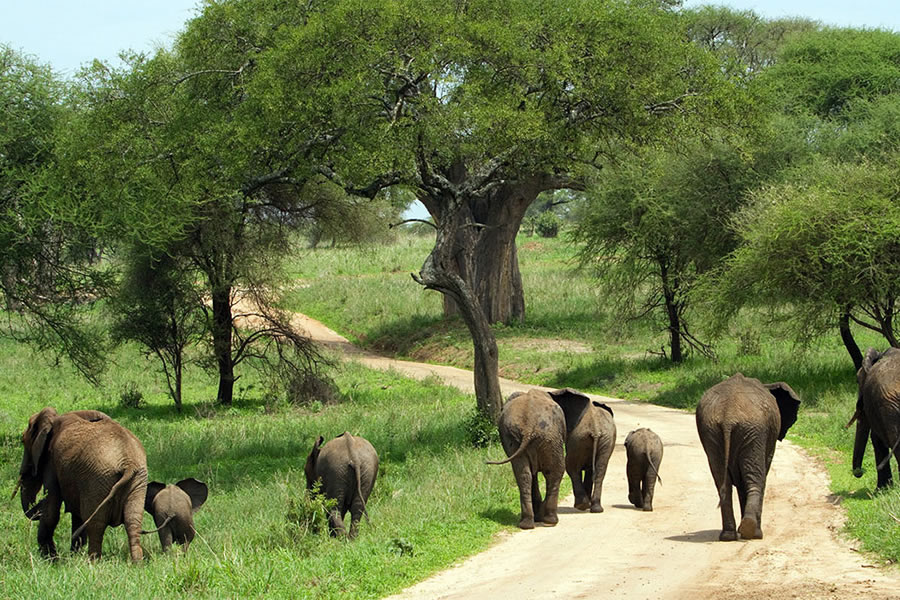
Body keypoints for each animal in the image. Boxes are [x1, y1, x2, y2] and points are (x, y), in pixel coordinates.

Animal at [15, 406, 149, 560]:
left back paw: (93, 562)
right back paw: (136, 562)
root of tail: (128, 463)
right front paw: (71, 557)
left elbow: (51, 511)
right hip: (137, 481)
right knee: (133, 521)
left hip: (98, 478)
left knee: (95, 525)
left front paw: (52, 560)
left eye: (22, 440)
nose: (38, 504)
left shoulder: (51, 463)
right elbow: (75, 515)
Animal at [488, 386, 568, 528]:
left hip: (525, 438)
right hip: (549, 437)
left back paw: (528, 524)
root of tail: (529, 426)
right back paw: (548, 521)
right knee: (555, 472)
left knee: (524, 474)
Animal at [692, 372, 800, 540]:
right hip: (753, 430)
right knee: (756, 479)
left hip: (711, 430)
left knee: (722, 482)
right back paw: (754, 533)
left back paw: (729, 535)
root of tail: (728, 416)